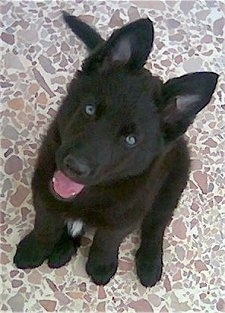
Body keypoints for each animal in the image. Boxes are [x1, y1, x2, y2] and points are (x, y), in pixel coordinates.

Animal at [14, 11, 218, 286]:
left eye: (131, 140)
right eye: (89, 109)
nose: (74, 167)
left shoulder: (124, 216)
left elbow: (107, 240)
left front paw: (101, 265)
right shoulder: (44, 191)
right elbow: (45, 224)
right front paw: (36, 248)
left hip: (172, 185)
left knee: (155, 225)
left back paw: (149, 263)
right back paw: (64, 247)